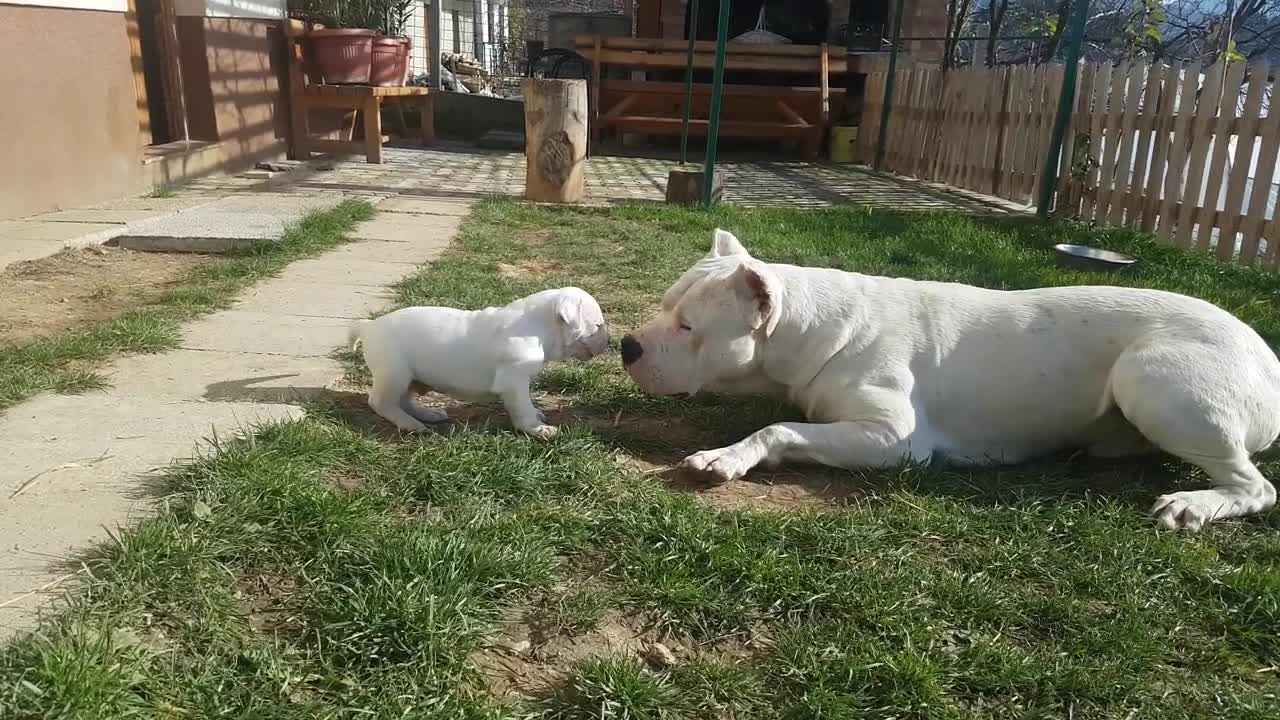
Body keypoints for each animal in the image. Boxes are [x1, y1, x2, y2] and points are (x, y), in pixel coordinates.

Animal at [350, 286, 609, 438]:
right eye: (597, 325)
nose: (609, 340)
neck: (540, 328)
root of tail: (368, 326)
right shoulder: (514, 382)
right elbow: (523, 407)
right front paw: (538, 429)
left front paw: (538, 416)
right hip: (395, 373)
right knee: (382, 402)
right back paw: (410, 424)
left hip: (411, 377)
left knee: (404, 400)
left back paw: (427, 414)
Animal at [624, 226, 1280, 530]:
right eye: (665, 308)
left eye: (687, 326)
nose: (629, 344)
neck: (817, 324)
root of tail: (1266, 355)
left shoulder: (892, 438)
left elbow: (778, 428)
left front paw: (726, 456)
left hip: (1154, 378)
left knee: (1256, 486)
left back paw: (1194, 504)